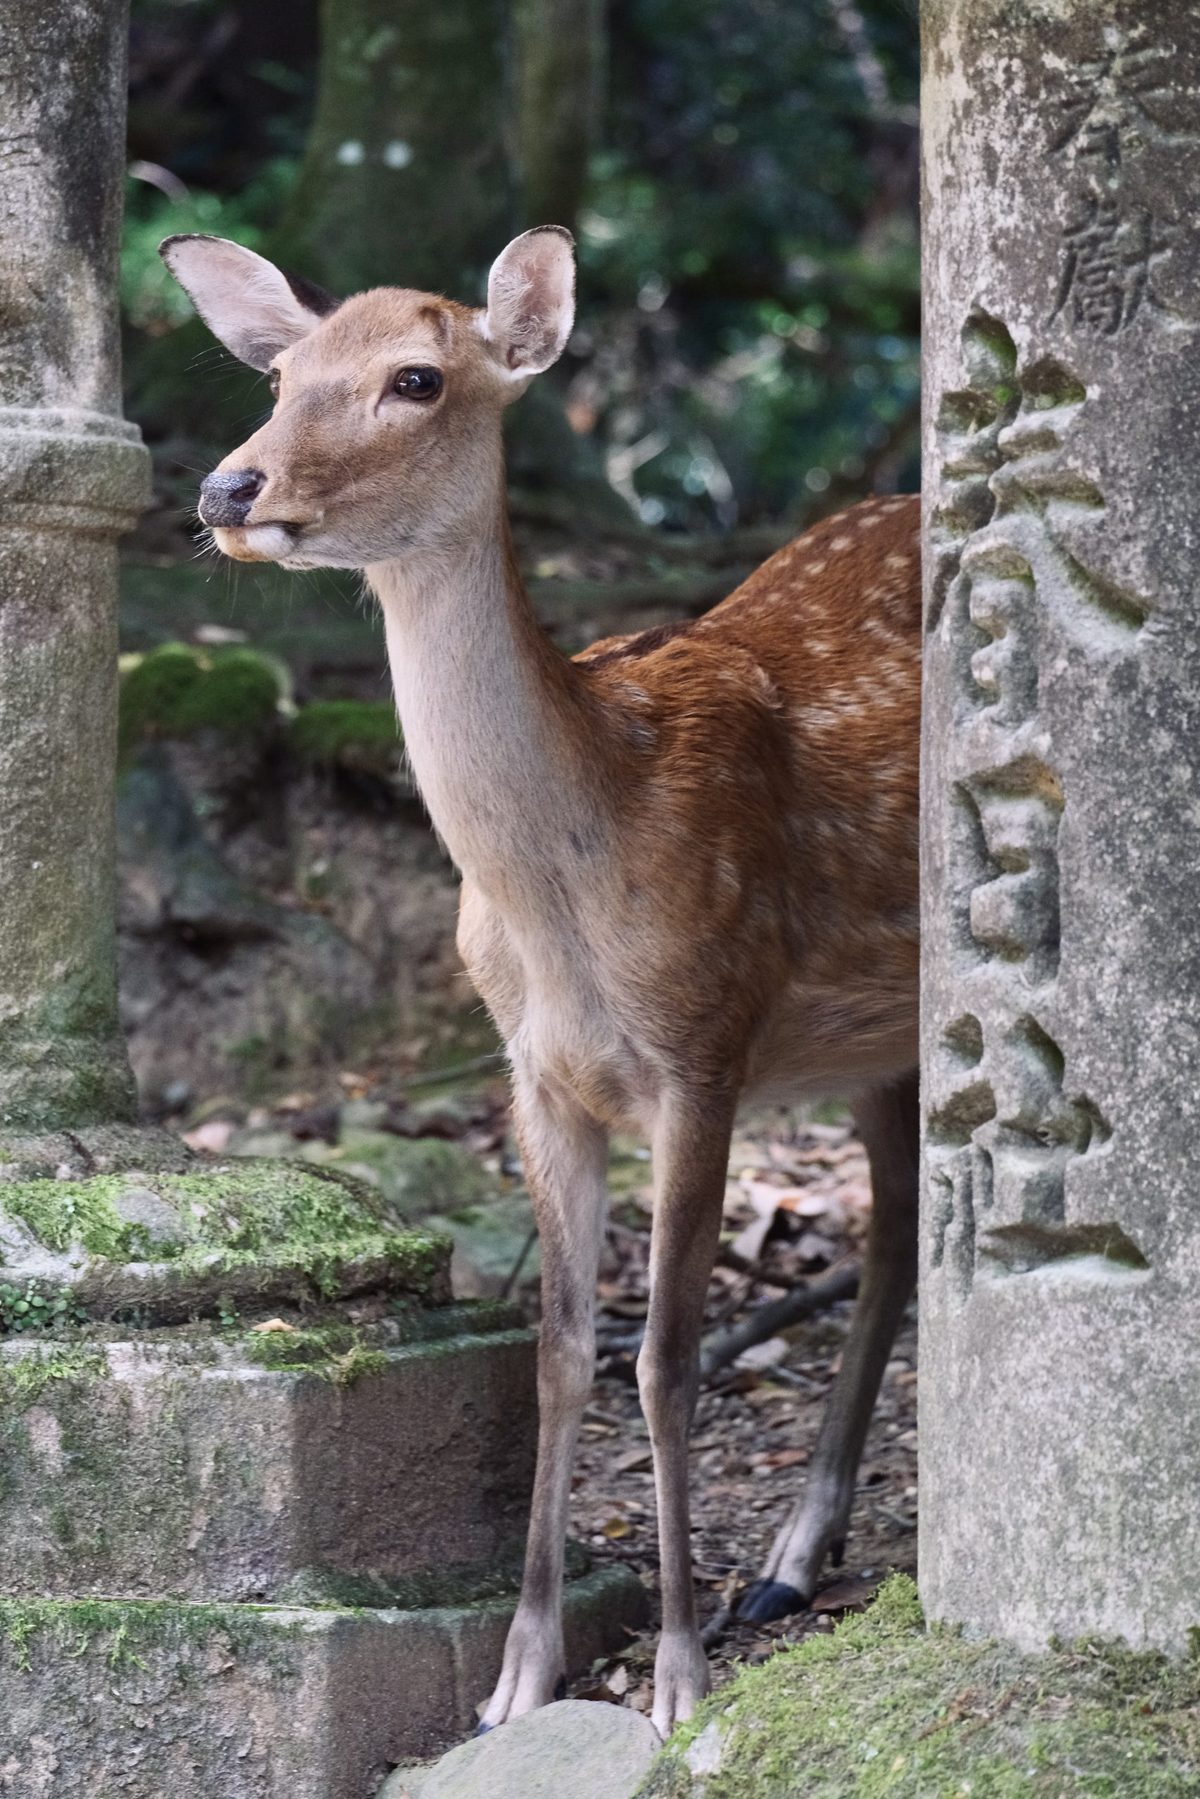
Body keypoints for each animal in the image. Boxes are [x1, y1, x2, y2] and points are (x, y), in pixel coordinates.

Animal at [161, 225, 920, 1739]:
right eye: (279, 373)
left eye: (415, 376)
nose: (228, 485)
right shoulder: (537, 1075)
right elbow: (560, 1350)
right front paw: (521, 1673)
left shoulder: (706, 1040)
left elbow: (667, 1354)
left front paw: (678, 1674)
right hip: (878, 1041)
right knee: (900, 1237)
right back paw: (794, 1556)